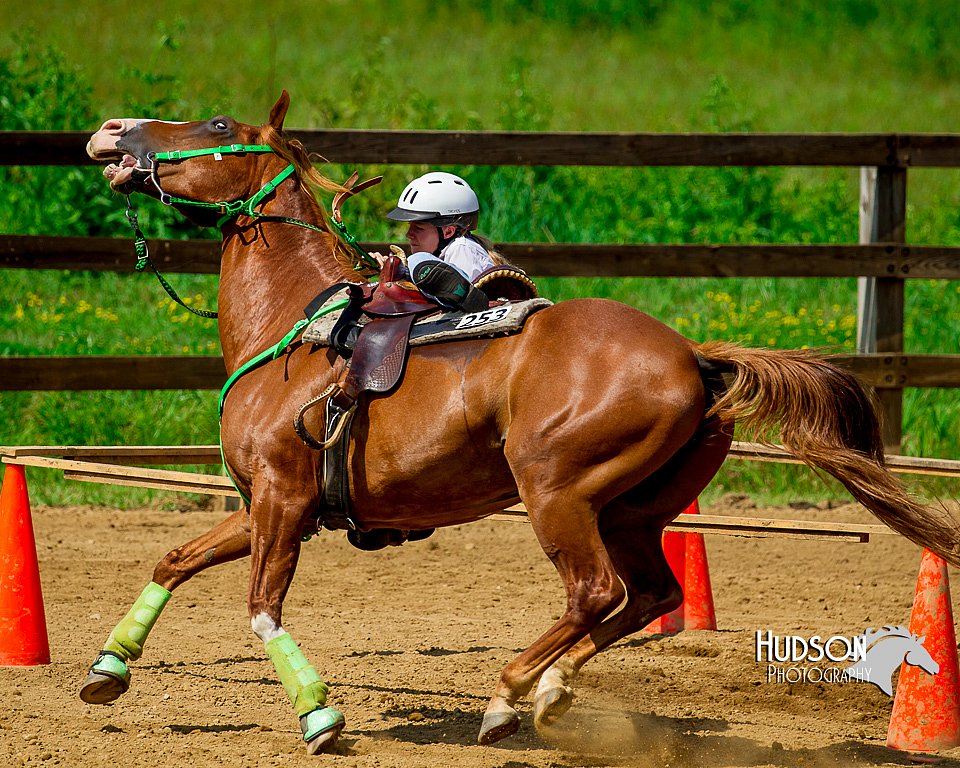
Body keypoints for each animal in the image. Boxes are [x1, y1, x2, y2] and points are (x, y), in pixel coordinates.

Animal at [82, 91, 960, 756]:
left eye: (215, 124)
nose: (112, 130)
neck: (296, 325)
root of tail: (692, 356)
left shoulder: (282, 501)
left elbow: (262, 607)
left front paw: (320, 714)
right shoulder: (264, 504)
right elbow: (174, 559)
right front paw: (108, 668)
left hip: (556, 491)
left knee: (596, 591)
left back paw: (510, 696)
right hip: (631, 509)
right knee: (646, 594)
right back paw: (551, 691)